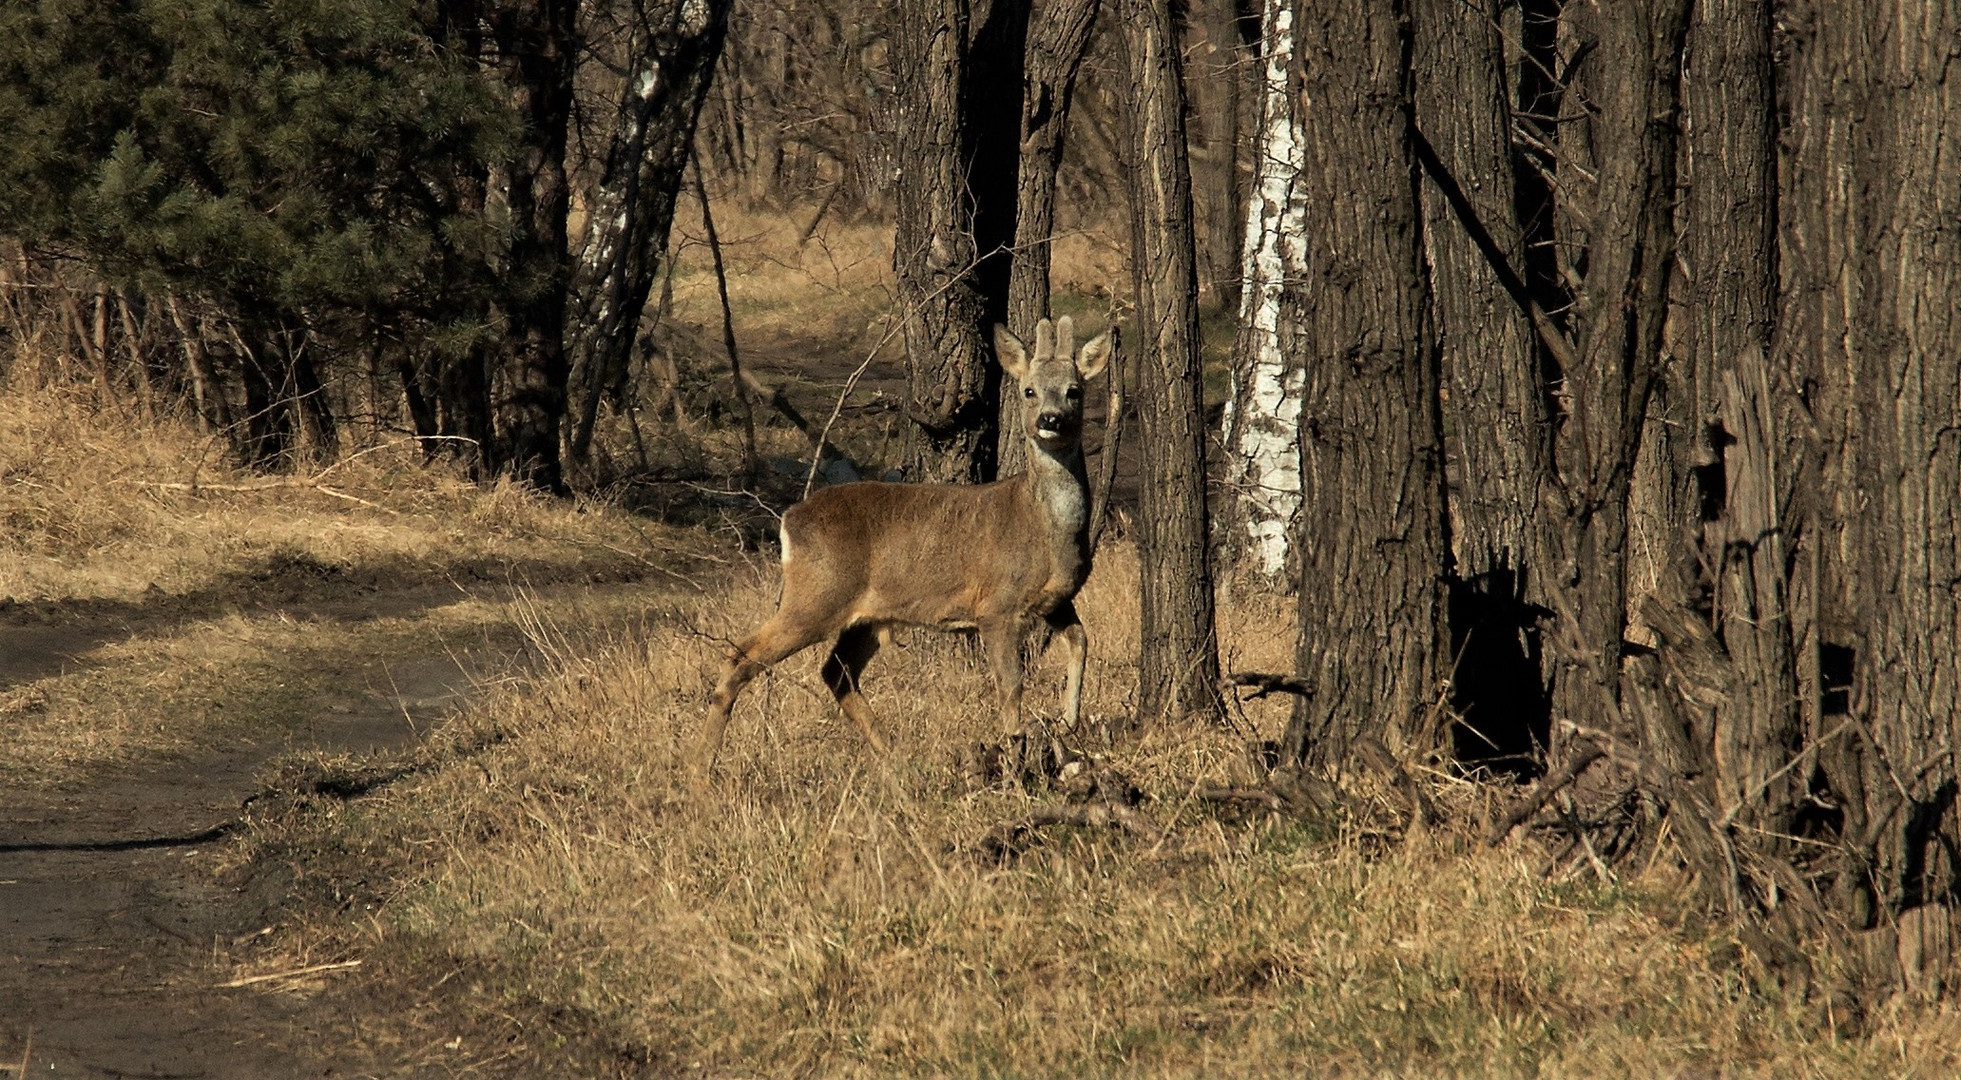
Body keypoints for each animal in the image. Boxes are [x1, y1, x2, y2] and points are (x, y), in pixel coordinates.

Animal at [705, 315, 1113, 768]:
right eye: (1029, 390)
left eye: (1074, 390)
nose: (1051, 419)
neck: (1043, 527)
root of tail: (789, 520)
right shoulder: (997, 605)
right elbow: (1011, 684)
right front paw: (1015, 747)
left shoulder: (1056, 600)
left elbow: (1082, 640)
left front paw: (1069, 719)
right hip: (815, 596)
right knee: (740, 656)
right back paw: (701, 767)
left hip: (864, 614)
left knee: (836, 671)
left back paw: (894, 756)